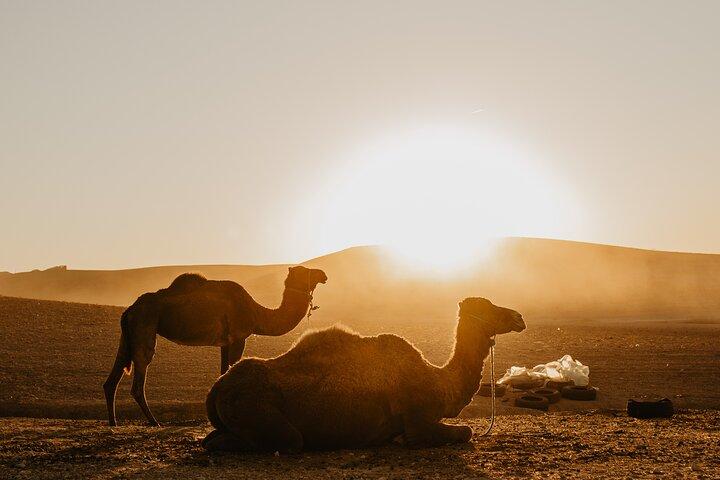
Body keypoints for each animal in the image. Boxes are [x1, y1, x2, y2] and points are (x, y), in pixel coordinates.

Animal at [103, 265, 328, 426]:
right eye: (305, 270)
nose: (323, 274)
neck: (257, 313)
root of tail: (129, 309)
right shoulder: (238, 338)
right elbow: (231, 367)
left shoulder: (225, 343)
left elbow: (222, 372)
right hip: (144, 325)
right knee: (139, 377)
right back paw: (153, 422)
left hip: (128, 334)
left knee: (114, 375)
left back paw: (113, 422)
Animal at [202, 297, 525, 452]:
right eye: (488, 306)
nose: (518, 316)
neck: (438, 381)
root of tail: (219, 386)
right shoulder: (419, 421)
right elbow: (465, 431)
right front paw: (398, 440)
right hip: (266, 417)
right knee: (287, 440)